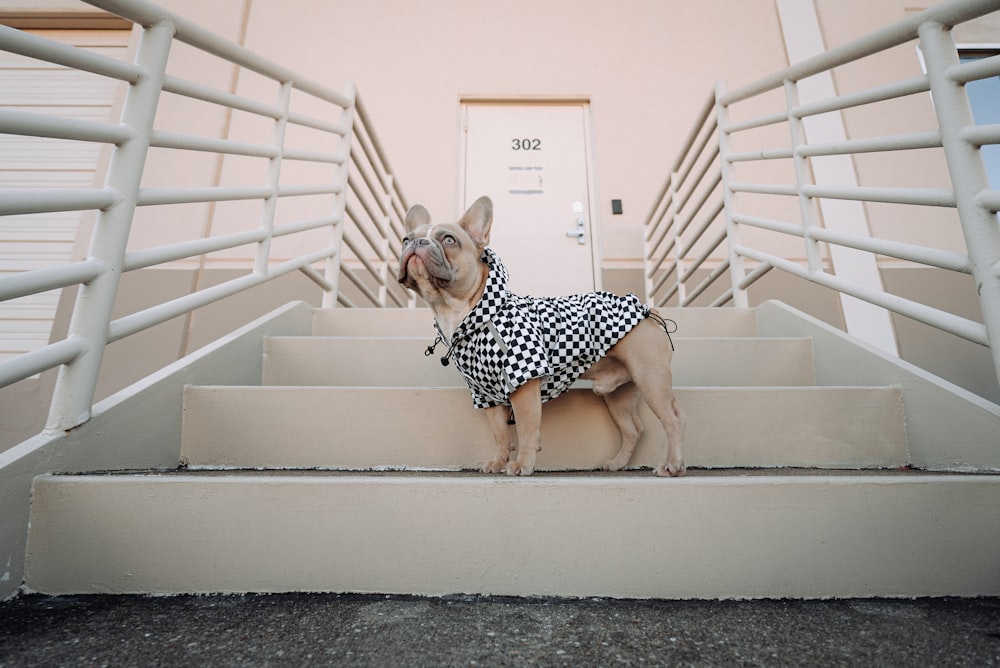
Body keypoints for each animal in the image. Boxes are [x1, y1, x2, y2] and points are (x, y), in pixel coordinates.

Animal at [394, 196, 684, 478]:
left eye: (448, 240)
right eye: (405, 240)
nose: (417, 243)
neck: (459, 311)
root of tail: (647, 309)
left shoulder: (523, 382)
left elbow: (525, 428)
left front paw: (522, 464)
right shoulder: (484, 393)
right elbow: (499, 433)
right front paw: (497, 461)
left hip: (650, 377)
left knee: (672, 419)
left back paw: (672, 465)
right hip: (617, 394)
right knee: (633, 429)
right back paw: (618, 463)